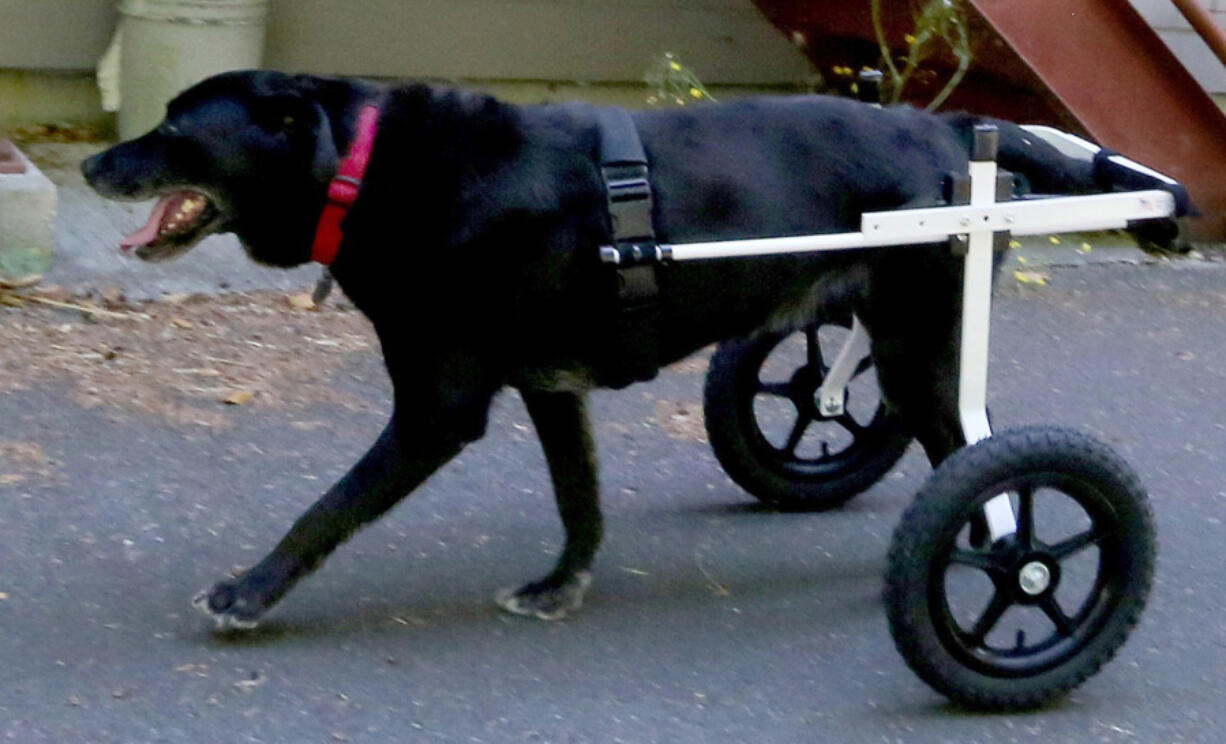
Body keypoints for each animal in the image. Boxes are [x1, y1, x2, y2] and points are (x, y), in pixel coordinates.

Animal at [81, 69, 1181, 627]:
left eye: (175, 128)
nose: (93, 163)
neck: (368, 166)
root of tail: (953, 130)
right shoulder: (548, 388)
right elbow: (581, 503)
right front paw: (560, 585)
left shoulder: (439, 407)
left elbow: (328, 509)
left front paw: (250, 591)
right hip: (894, 346)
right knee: (891, 421)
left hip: (921, 349)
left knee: (985, 470)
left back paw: (1012, 569)